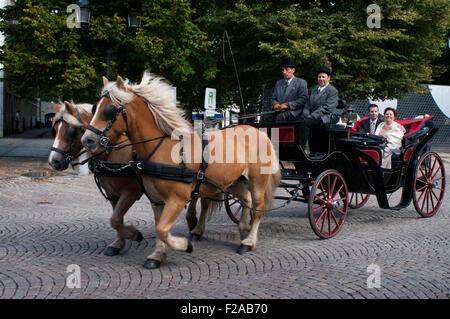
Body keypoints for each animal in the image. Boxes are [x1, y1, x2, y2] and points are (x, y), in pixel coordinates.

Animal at [48, 102, 217, 260]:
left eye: (70, 131)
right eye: (55, 129)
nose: (54, 161)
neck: (114, 154)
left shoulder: (130, 192)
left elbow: (116, 219)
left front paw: (134, 234)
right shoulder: (113, 194)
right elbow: (116, 218)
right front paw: (118, 243)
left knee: (204, 201)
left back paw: (196, 228)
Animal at [79, 73, 280, 270]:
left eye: (109, 110)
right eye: (94, 108)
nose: (87, 140)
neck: (164, 147)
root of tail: (258, 132)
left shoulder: (177, 198)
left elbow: (161, 229)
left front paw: (183, 245)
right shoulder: (156, 199)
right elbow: (156, 227)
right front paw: (157, 255)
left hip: (257, 181)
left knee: (258, 208)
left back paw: (249, 241)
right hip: (234, 181)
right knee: (245, 201)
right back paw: (243, 230)